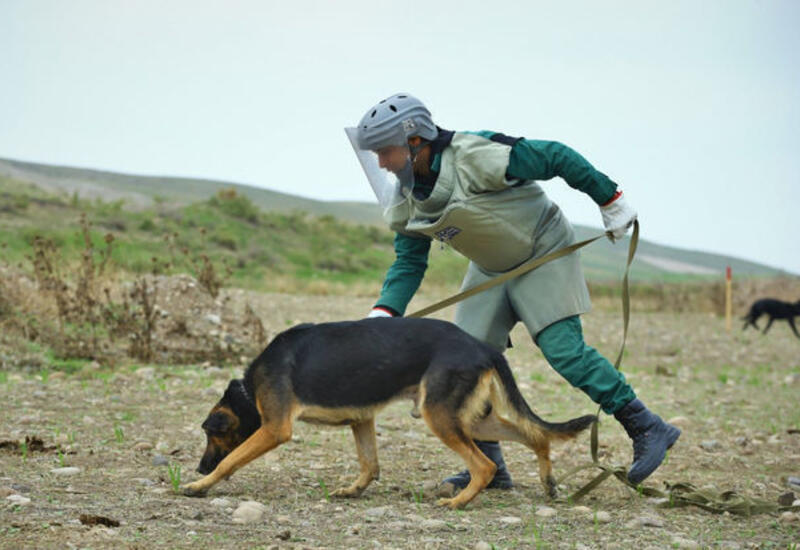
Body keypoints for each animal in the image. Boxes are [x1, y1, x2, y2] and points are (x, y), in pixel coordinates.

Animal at [181, 322, 592, 512]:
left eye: (209, 434)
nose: (199, 467)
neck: (249, 389)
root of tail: (482, 347)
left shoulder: (274, 428)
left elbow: (231, 461)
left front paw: (200, 486)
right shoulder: (361, 420)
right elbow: (369, 463)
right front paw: (354, 490)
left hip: (439, 415)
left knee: (485, 465)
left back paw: (458, 503)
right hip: (471, 419)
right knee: (536, 436)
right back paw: (548, 482)